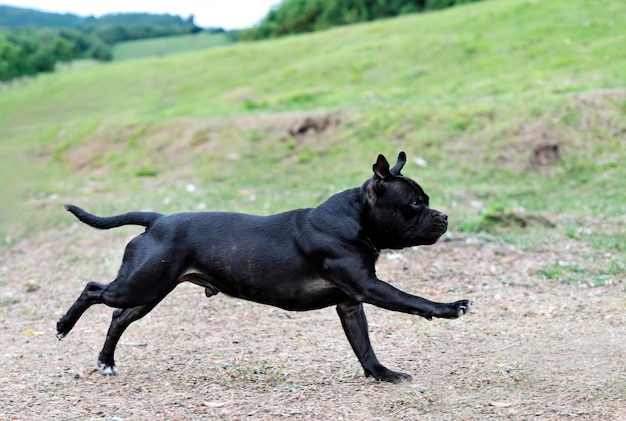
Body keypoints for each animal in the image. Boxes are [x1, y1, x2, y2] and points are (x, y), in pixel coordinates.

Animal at [56, 153, 470, 382]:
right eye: (415, 203)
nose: (444, 216)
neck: (357, 218)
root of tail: (157, 220)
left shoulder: (351, 304)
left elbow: (363, 346)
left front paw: (381, 374)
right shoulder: (369, 288)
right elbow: (414, 301)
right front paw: (451, 308)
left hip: (150, 291)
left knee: (119, 317)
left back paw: (106, 362)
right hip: (139, 285)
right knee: (93, 290)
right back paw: (63, 326)